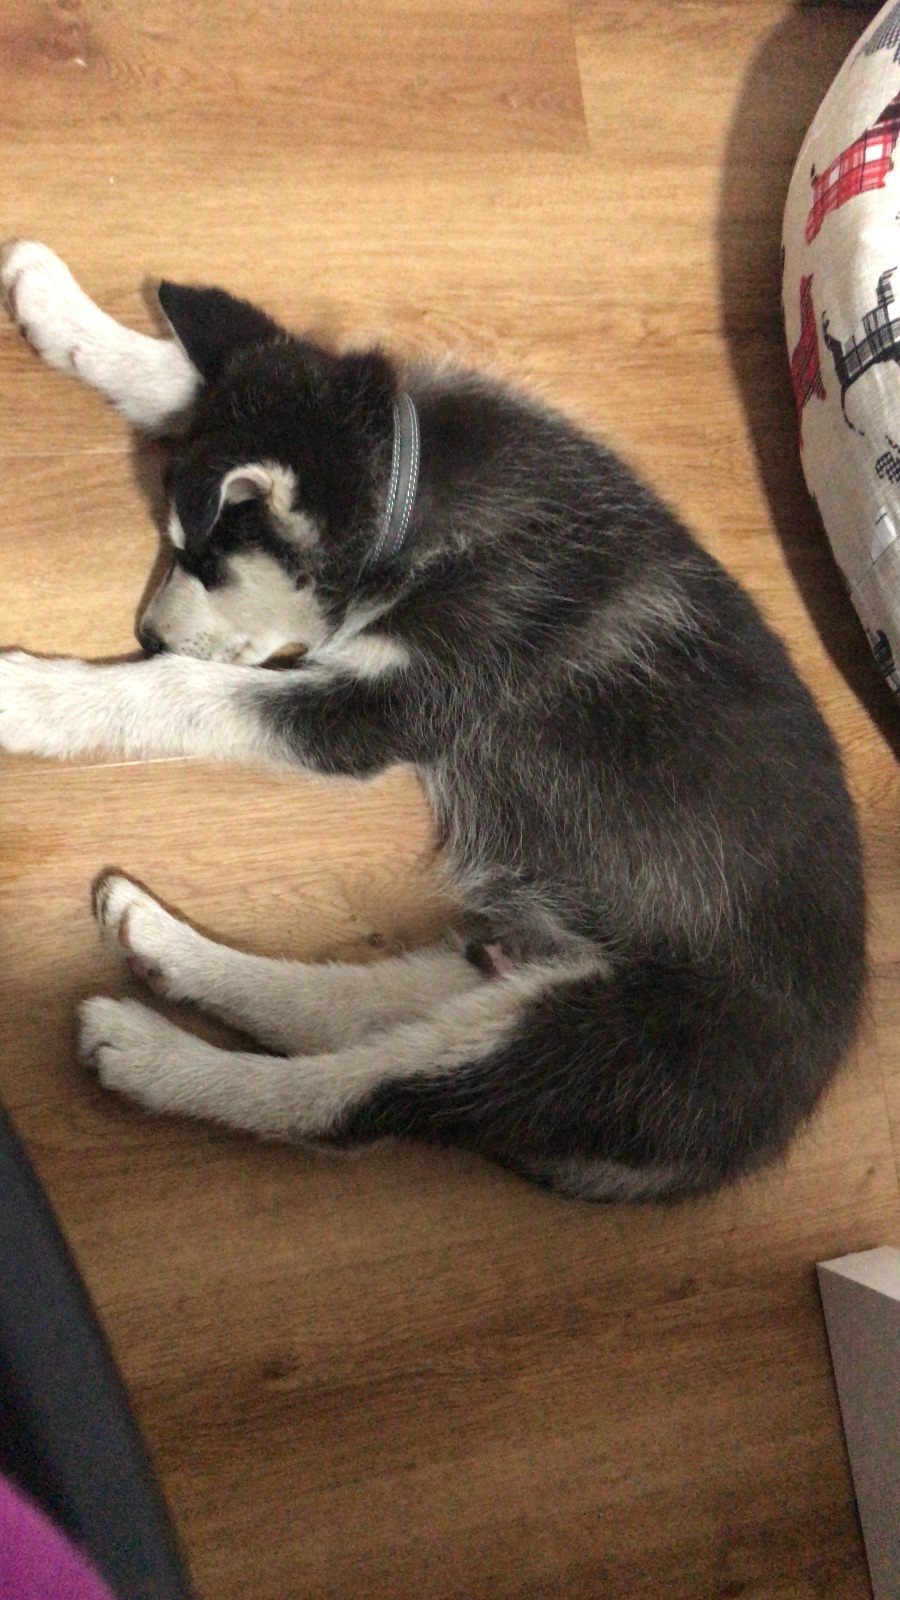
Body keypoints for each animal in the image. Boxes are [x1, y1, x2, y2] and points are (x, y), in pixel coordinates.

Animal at [0, 240, 864, 1203]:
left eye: (208, 561)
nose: (145, 634)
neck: (411, 499)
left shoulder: (383, 705)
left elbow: (181, 694)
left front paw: (31, 695)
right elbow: (184, 382)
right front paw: (63, 312)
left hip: (602, 1043)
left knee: (348, 1106)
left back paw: (150, 1054)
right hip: (511, 973)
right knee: (346, 1011)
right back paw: (155, 938)